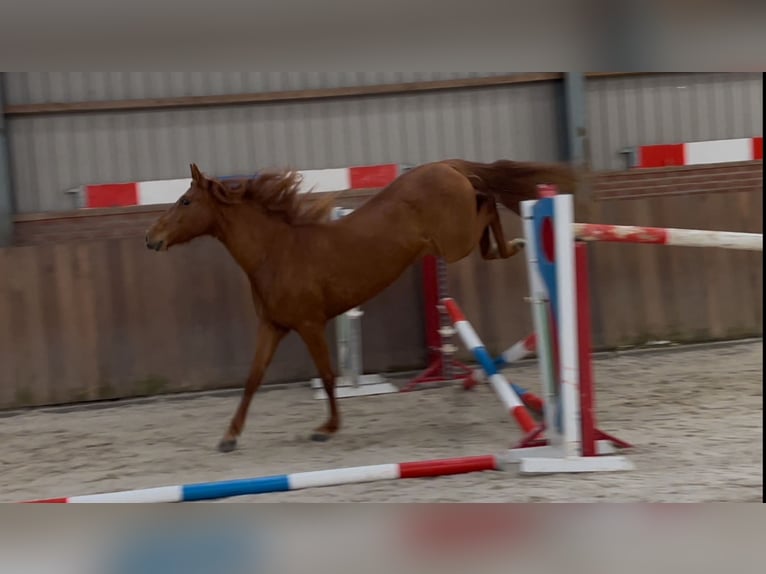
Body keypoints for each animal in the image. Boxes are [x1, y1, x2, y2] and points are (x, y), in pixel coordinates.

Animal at [146, 159, 576, 454]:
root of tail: (446, 166)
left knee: (487, 203)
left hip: (455, 243)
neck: (275, 252)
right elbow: (252, 379)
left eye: (186, 201)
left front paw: (326, 429)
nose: (151, 238)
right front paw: (229, 437)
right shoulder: (273, 326)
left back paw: (513, 245)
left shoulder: (309, 324)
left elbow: (329, 375)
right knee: (486, 206)